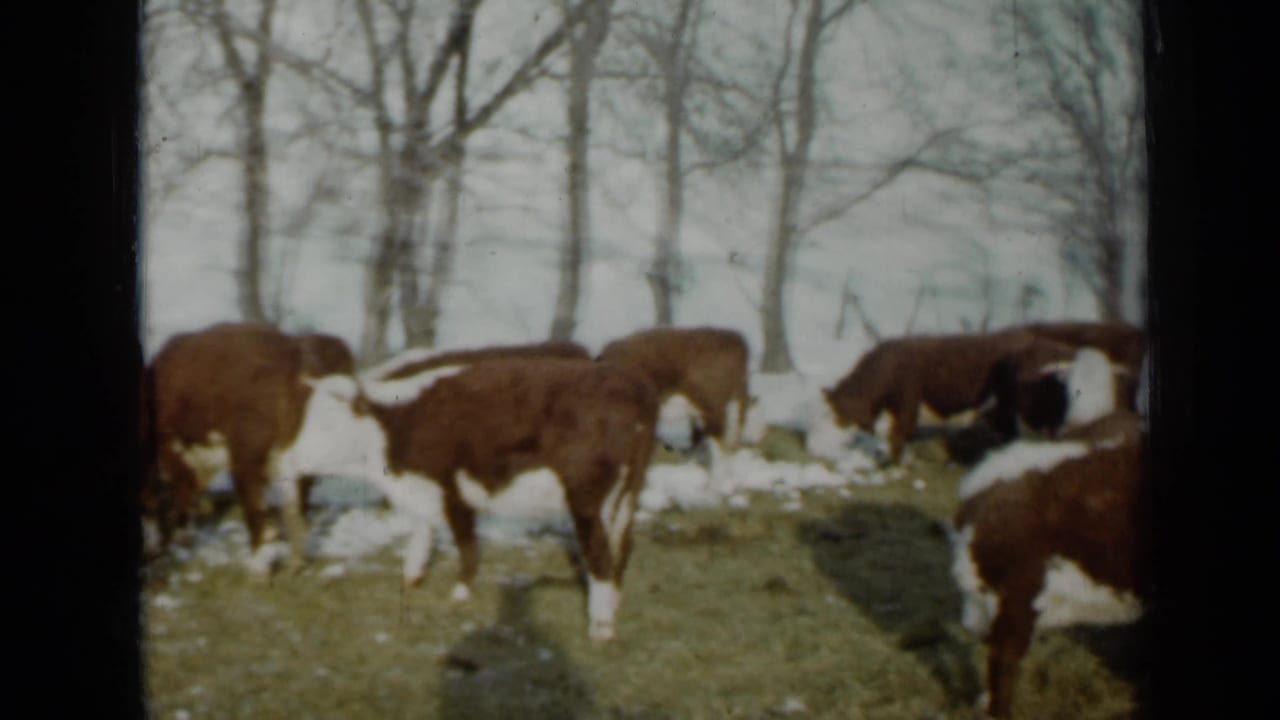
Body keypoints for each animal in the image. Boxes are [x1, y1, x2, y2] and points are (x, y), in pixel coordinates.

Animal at [283, 357, 659, 641]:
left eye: (327, 424)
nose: (290, 458)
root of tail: (631, 386)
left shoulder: (452, 490)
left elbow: (465, 542)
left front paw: (460, 593)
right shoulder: (423, 491)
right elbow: (421, 536)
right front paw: (411, 579)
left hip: (586, 498)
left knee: (599, 555)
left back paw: (601, 628)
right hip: (626, 497)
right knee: (621, 548)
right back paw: (614, 605)